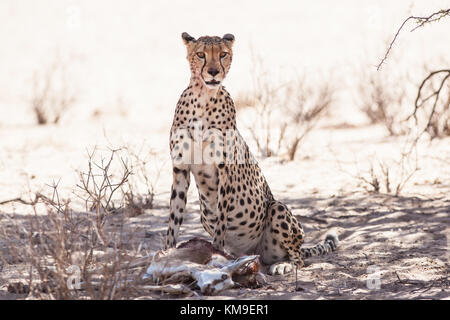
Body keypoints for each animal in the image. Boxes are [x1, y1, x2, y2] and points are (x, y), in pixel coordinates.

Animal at [164, 33, 338, 276]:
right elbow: (173, 218)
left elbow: (221, 222)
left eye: (223, 54)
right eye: (200, 54)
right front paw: (166, 254)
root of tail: (254, 252)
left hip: (276, 208)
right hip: (205, 215)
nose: (214, 72)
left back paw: (283, 265)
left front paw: (216, 253)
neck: (203, 96)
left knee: (298, 258)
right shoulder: (180, 169)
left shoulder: (225, 169)